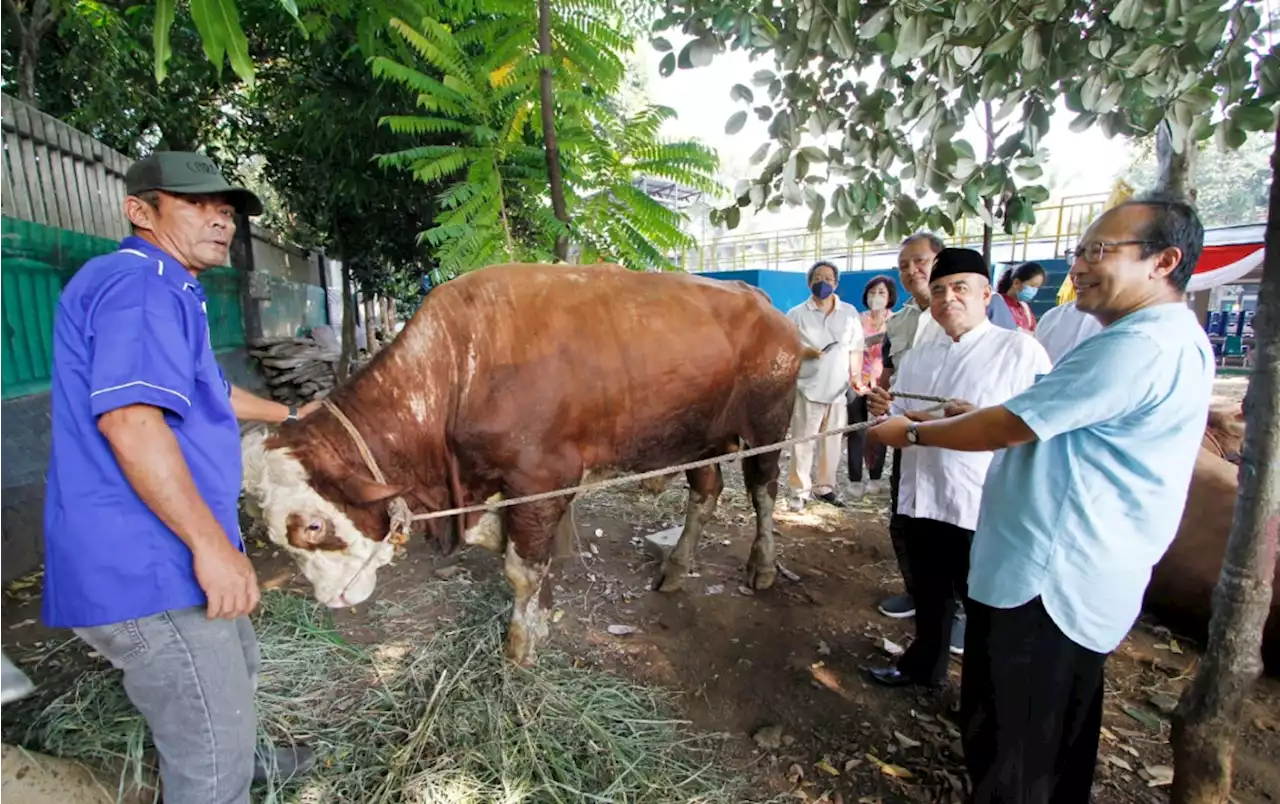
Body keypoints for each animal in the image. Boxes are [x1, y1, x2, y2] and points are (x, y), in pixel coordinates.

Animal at [240, 263, 798, 665]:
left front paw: (521, 644)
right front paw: (543, 618)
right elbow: (527, 556)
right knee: (705, 492)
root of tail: (757, 297)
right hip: (698, 437)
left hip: (768, 425)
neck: (456, 370)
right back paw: (677, 569)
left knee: (762, 491)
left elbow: (521, 567)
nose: (331, 599)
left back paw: (763, 567)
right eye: (272, 534)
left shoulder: (541, 478)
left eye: (313, 526)